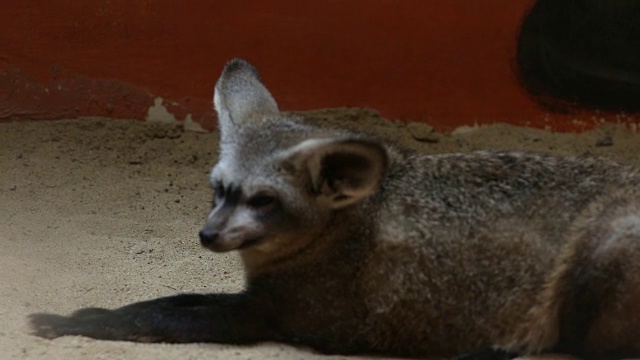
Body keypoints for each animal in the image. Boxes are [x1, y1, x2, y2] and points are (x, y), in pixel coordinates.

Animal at [31, 57, 640, 358]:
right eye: (218, 189)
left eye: (264, 200)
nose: (207, 236)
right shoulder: (257, 297)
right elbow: (165, 298)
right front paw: (84, 314)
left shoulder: (268, 314)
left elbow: (152, 316)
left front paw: (66, 321)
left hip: (593, 262)